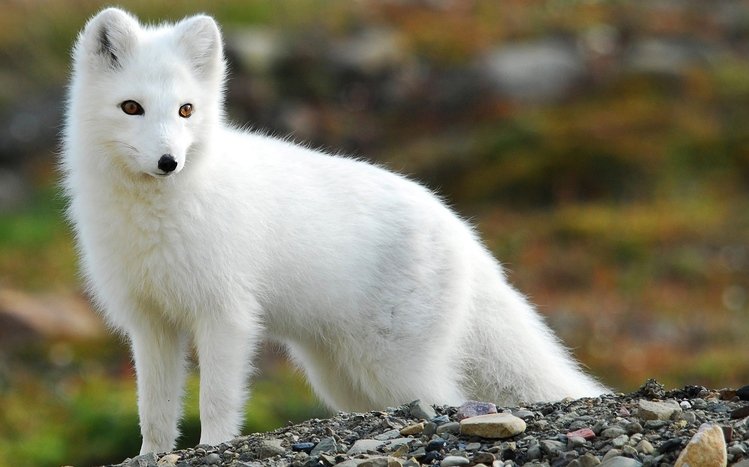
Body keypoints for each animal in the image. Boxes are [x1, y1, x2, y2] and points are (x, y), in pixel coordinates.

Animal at [61, 8, 608, 455]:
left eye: (186, 110)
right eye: (131, 107)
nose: (168, 161)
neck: (153, 218)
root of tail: (460, 229)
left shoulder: (226, 314)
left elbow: (216, 401)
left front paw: (213, 446)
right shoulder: (150, 322)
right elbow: (154, 412)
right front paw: (149, 456)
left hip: (394, 367)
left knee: (447, 399)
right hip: (339, 374)